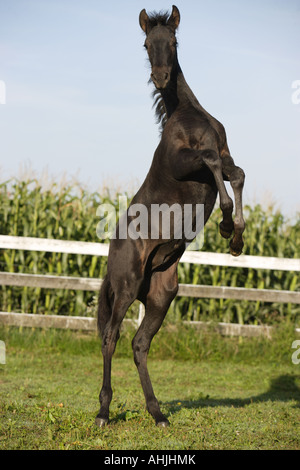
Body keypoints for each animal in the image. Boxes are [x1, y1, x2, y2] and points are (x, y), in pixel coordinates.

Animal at [95, 5, 245, 428]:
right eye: (147, 44)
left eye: (174, 41)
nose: (161, 77)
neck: (188, 115)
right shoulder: (186, 162)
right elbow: (214, 165)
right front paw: (226, 224)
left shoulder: (226, 155)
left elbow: (237, 174)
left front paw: (238, 238)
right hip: (126, 287)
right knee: (110, 337)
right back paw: (104, 411)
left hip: (161, 294)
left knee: (139, 343)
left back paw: (157, 412)